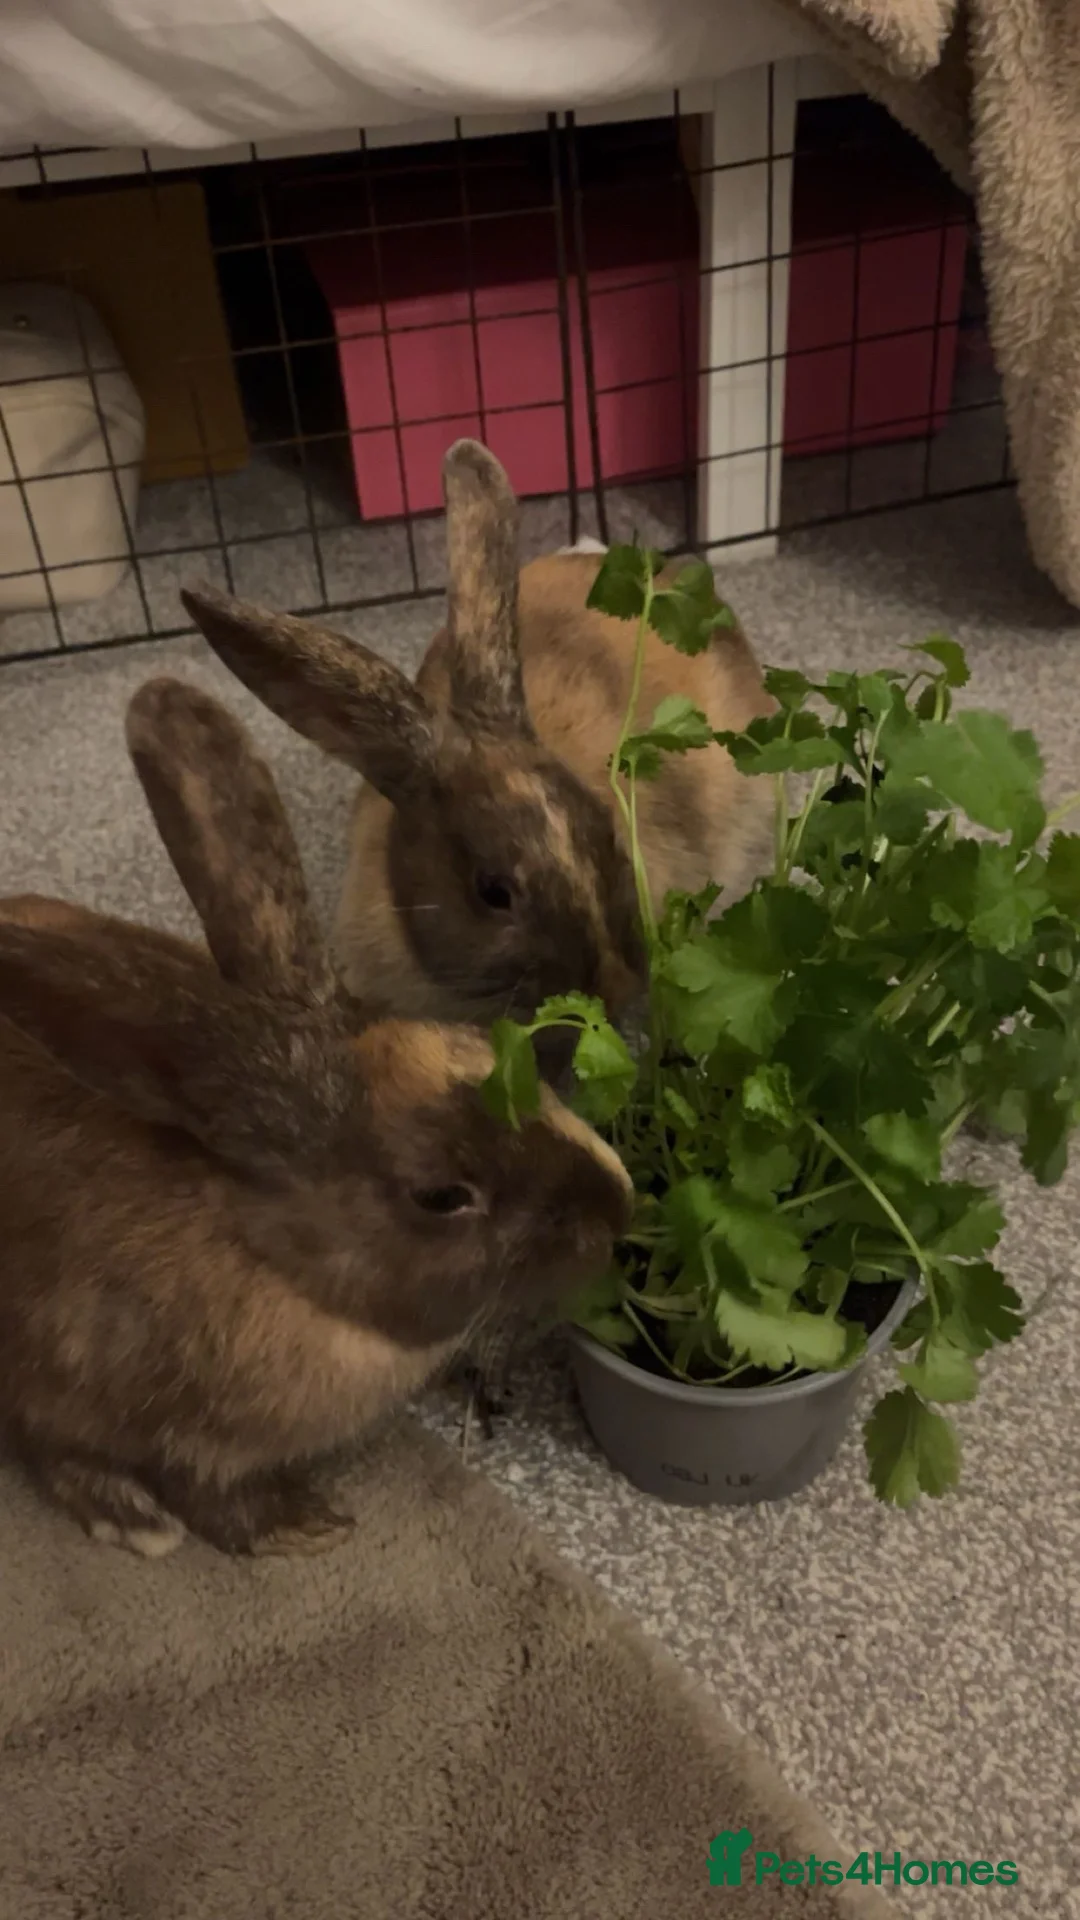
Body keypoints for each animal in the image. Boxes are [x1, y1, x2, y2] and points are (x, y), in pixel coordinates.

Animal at [0, 676, 632, 1558]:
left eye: (478, 1042)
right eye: (442, 1195)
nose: (619, 1206)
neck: (271, 1263)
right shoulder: (101, 1395)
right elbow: (177, 1487)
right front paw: (295, 1528)